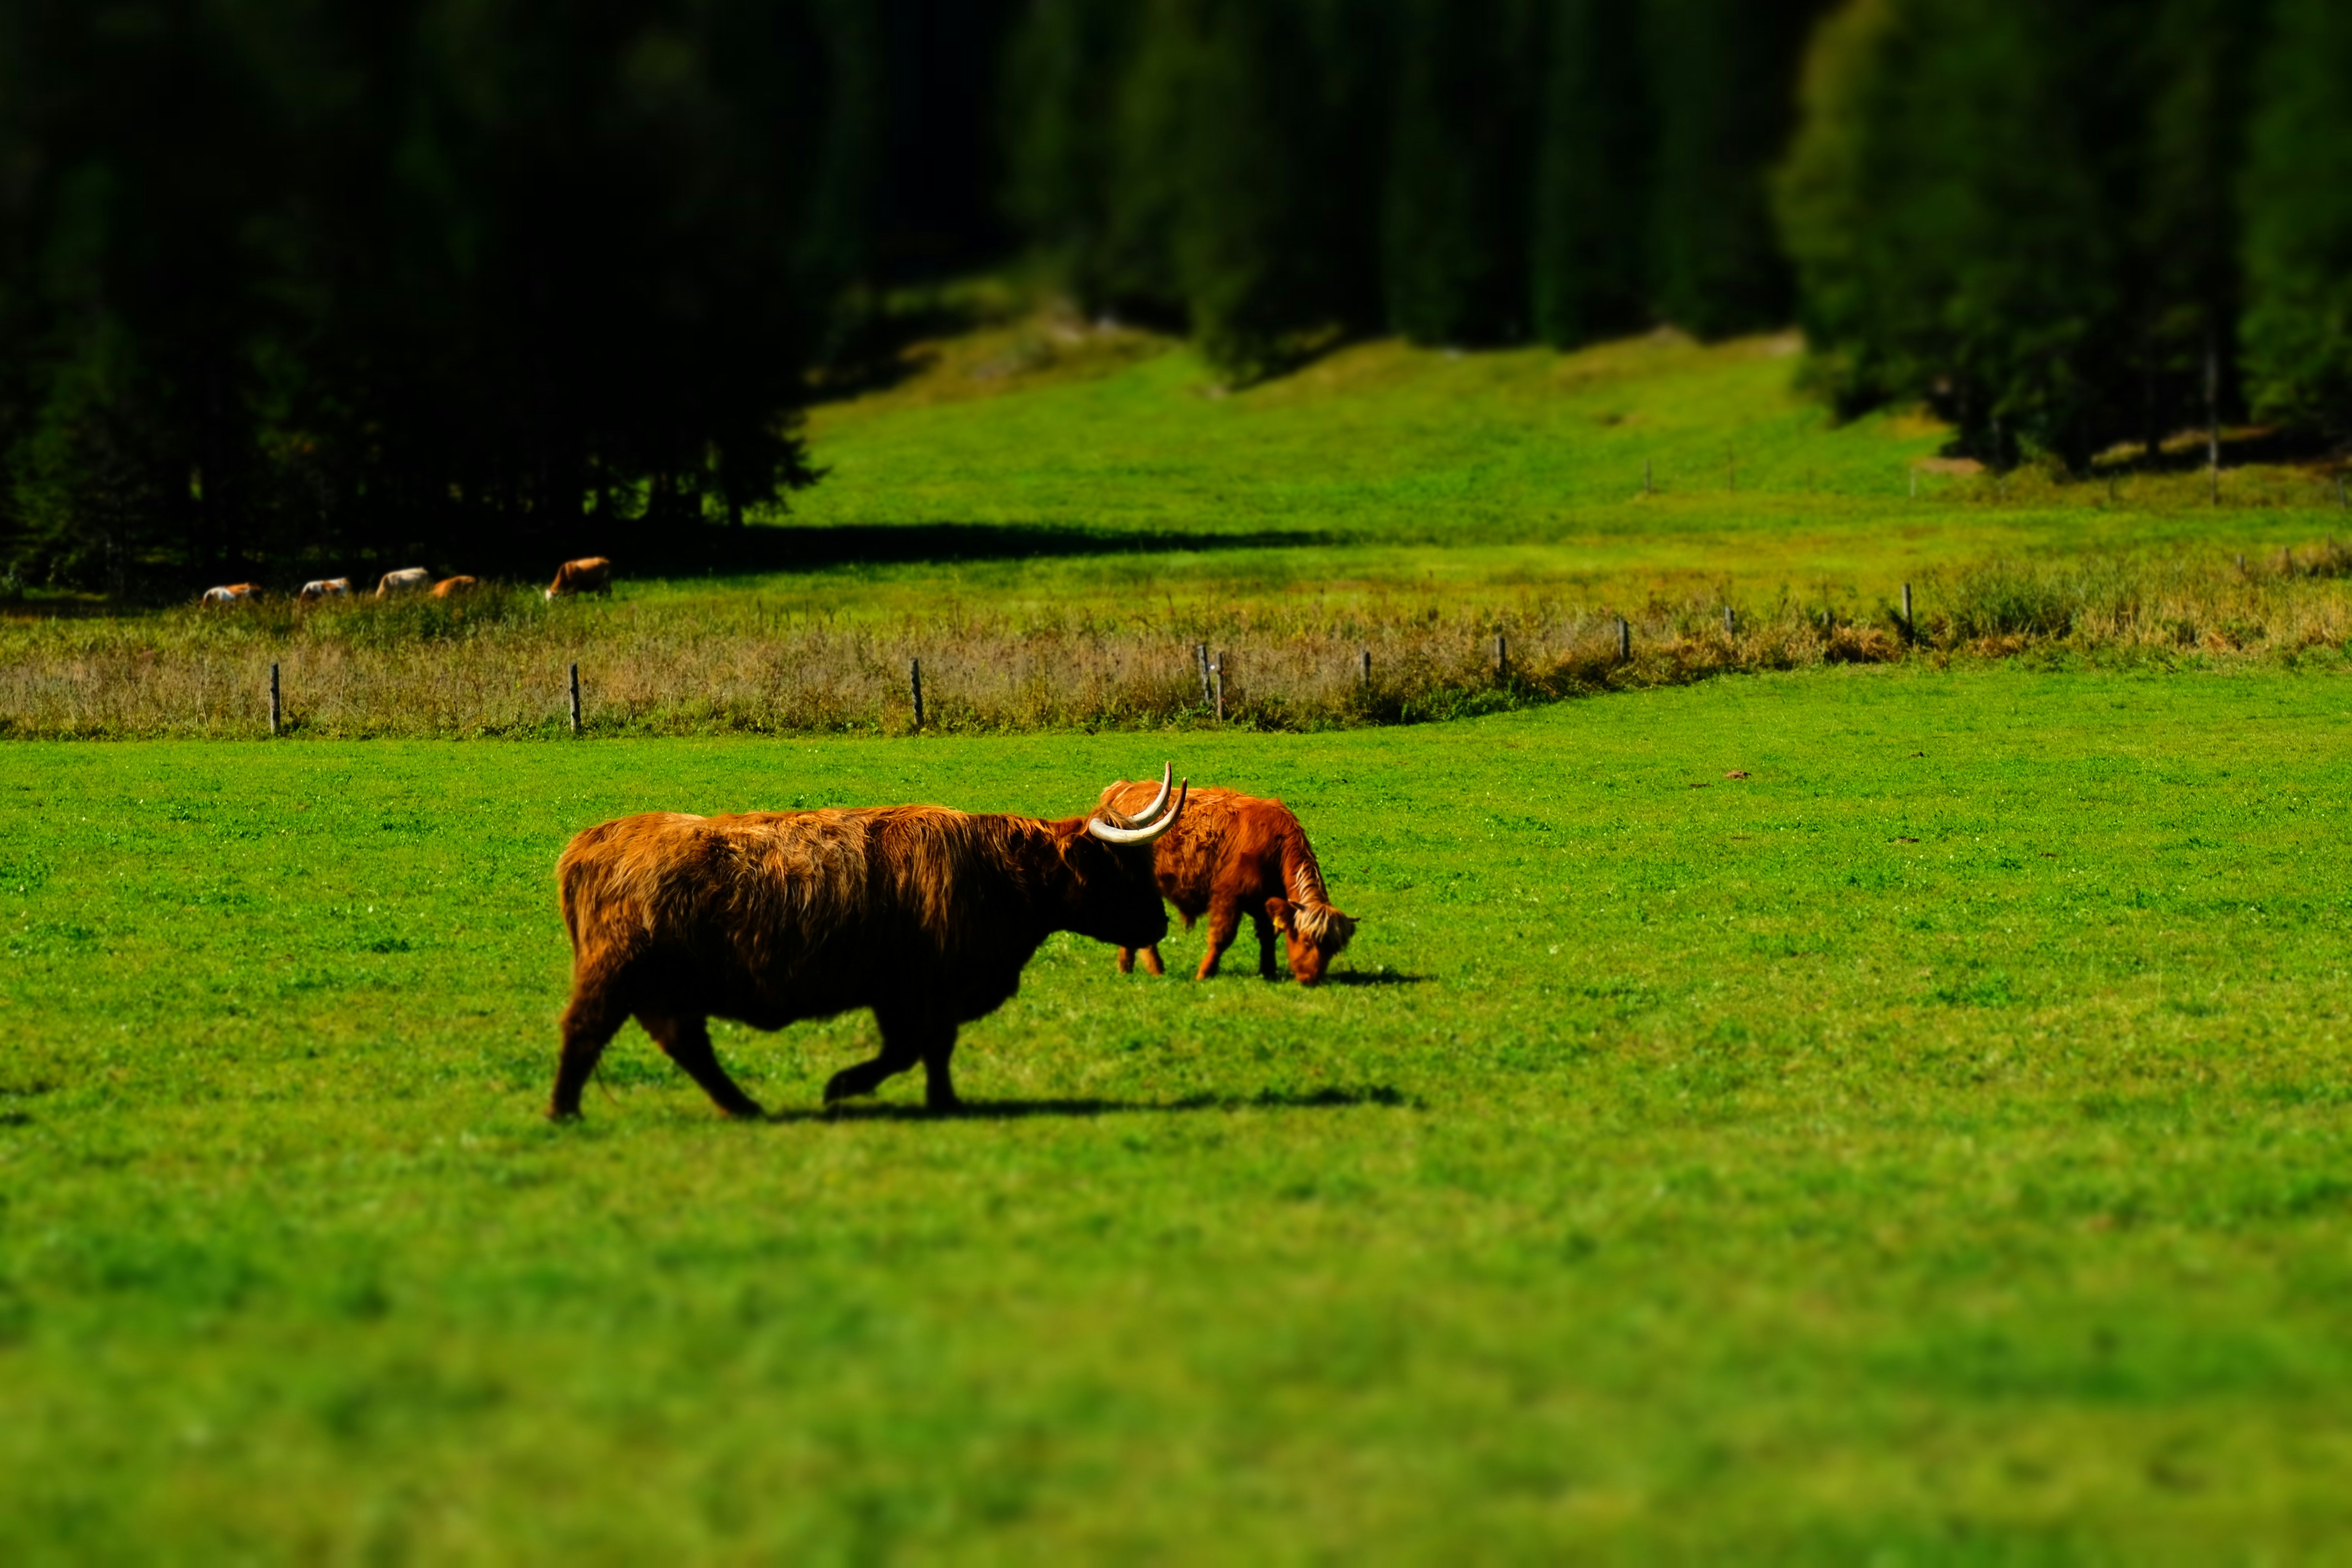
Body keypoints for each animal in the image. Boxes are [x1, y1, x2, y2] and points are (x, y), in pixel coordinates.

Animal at [545, 556, 613, 600]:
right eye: (547, 601)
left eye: (552, 599)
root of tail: (604, 560)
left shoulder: (575, 587)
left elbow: (574, 598)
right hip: (600, 583)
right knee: (599, 592)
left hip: (606, 581)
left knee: (609, 591)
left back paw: (608, 600)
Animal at [548, 763, 1190, 1120]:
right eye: (1121, 870)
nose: (1158, 925)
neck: (999, 874)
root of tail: (594, 839)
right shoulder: (917, 990)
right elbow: (911, 1049)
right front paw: (842, 1087)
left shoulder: (923, 996)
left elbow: (933, 1050)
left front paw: (943, 1101)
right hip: (617, 972)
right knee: (586, 1030)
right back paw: (563, 1110)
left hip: (665, 987)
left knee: (684, 1043)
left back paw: (742, 1106)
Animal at [1098, 782, 1358, 986]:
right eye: (1306, 941)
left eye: (1333, 950)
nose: (1312, 979)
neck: (1276, 844)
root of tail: (1124, 788)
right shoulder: (1228, 896)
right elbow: (1222, 937)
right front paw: (1204, 974)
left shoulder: (1265, 903)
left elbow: (1268, 936)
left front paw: (1269, 972)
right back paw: (1155, 969)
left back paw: (1127, 966)